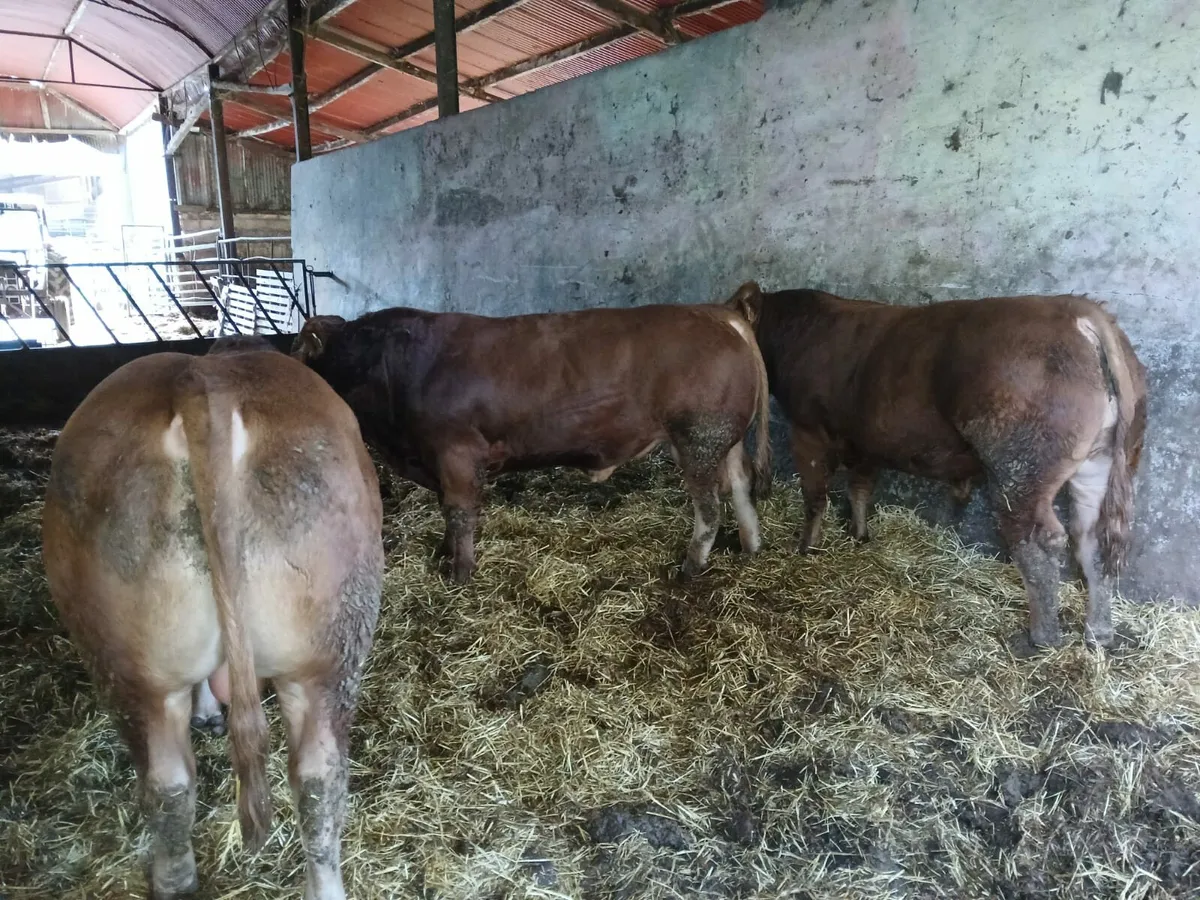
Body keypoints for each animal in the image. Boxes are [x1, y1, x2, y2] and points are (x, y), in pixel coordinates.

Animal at [41, 338, 384, 900]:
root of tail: (205, 383)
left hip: (133, 666)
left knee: (169, 784)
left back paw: (173, 879)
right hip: (326, 654)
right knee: (316, 783)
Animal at [291, 302, 773, 584]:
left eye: (298, 350)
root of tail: (718, 312)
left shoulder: (457, 454)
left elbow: (459, 513)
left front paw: (460, 572)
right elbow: (449, 512)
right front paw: (445, 553)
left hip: (698, 438)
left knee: (709, 509)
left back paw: (689, 568)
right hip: (722, 442)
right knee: (741, 489)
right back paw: (751, 548)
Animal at [726, 281, 1147, 655]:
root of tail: (1080, 310)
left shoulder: (807, 429)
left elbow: (815, 496)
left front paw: (806, 548)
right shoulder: (865, 440)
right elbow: (860, 488)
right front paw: (860, 535)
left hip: (1020, 471)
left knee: (1042, 541)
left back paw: (1042, 638)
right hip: (1101, 462)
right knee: (1090, 538)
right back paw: (1098, 632)